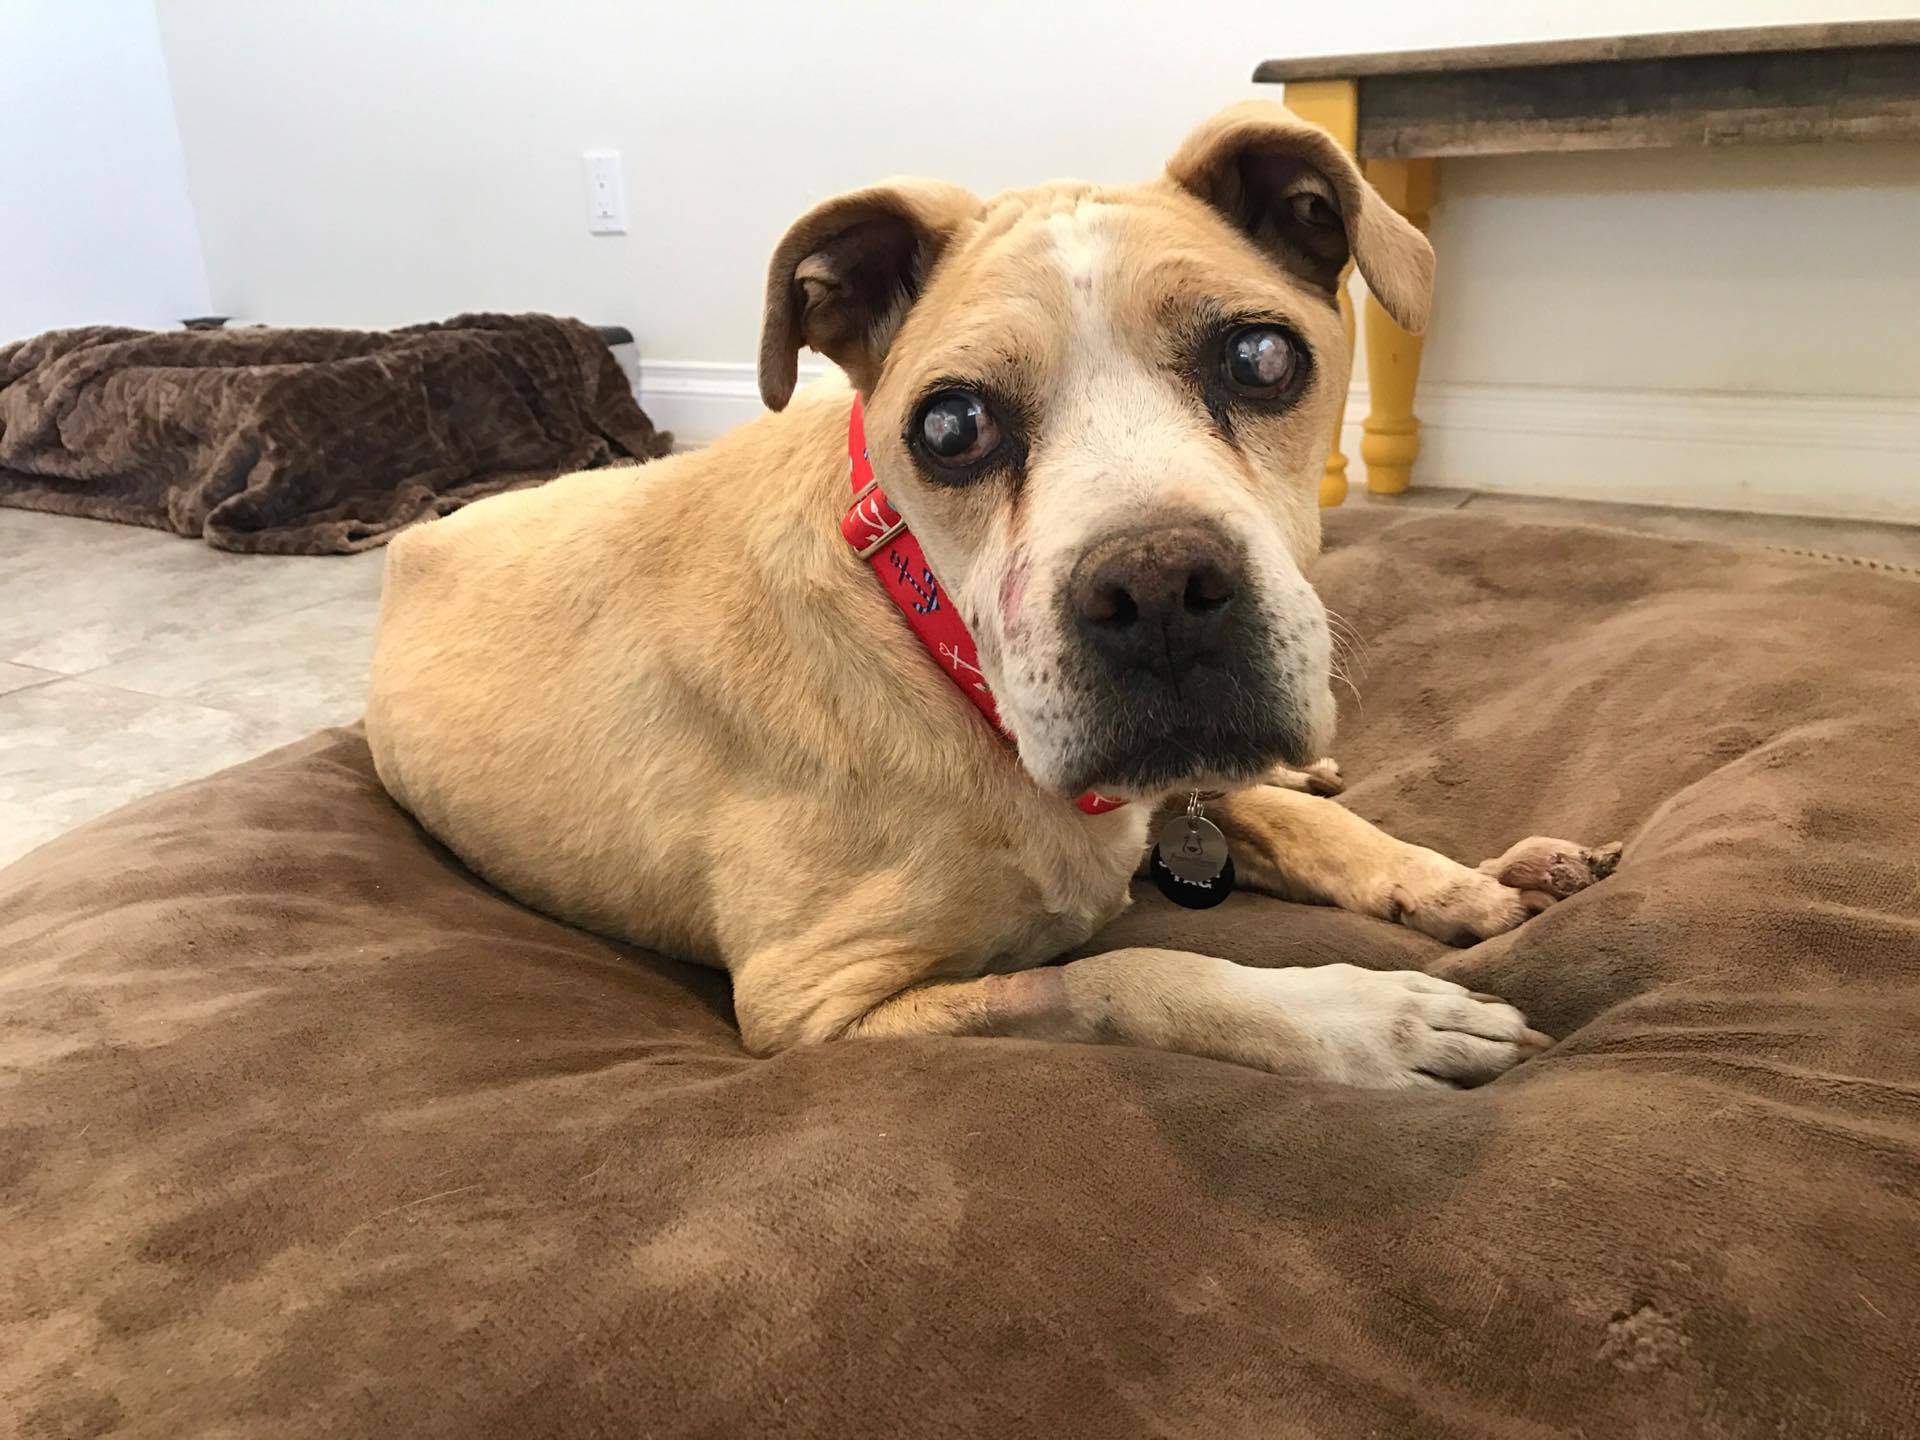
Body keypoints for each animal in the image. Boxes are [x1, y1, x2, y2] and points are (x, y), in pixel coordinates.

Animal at [362, 101, 1620, 1090]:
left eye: (1263, 358)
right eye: (952, 425)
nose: (1159, 590)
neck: (940, 655)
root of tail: (420, 535)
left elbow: (1295, 820)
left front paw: (1458, 880)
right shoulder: (818, 1007)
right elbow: (1121, 973)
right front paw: (1368, 1019)